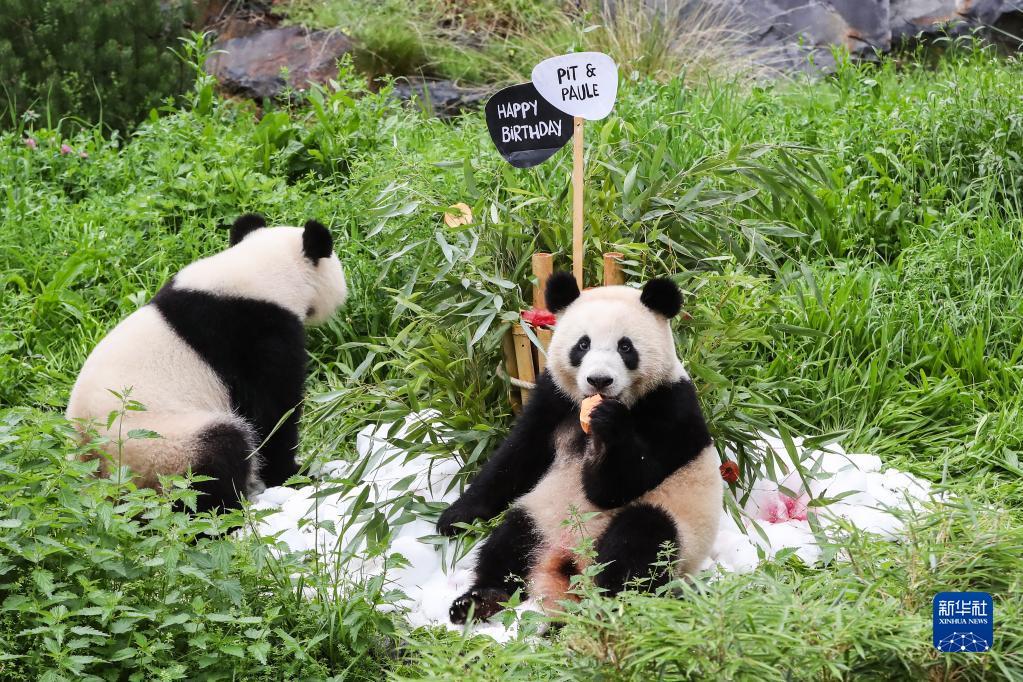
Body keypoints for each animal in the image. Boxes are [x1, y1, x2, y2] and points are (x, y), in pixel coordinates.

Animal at [68, 213, 349, 511]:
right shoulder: (255, 335)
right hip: (158, 444)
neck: (259, 272)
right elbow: (273, 413)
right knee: (217, 456)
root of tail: (95, 461)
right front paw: (294, 474)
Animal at [437, 269, 720, 625]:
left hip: (676, 532)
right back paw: (479, 600)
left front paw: (608, 426)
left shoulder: (672, 408)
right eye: (582, 345)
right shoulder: (554, 398)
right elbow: (515, 459)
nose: (599, 380)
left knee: (639, 544)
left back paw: (598, 608)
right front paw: (454, 518)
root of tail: (567, 564)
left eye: (626, 347)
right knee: (510, 542)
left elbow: (620, 485)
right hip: (543, 513)